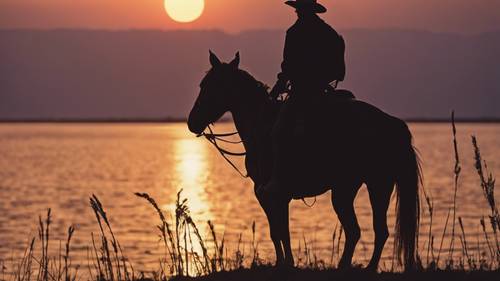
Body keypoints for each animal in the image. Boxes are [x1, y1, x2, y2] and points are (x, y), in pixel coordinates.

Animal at [186, 51, 420, 270]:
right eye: (202, 84)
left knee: (369, 231)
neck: (260, 125)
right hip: (358, 187)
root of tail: (393, 124)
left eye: (212, 85)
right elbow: (276, 231)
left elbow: (282, 231)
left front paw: (287, 263)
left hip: (369, 186)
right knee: (366, 231)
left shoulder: (273, 192)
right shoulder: (265, 194)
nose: (192, 122)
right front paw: (282, 262)